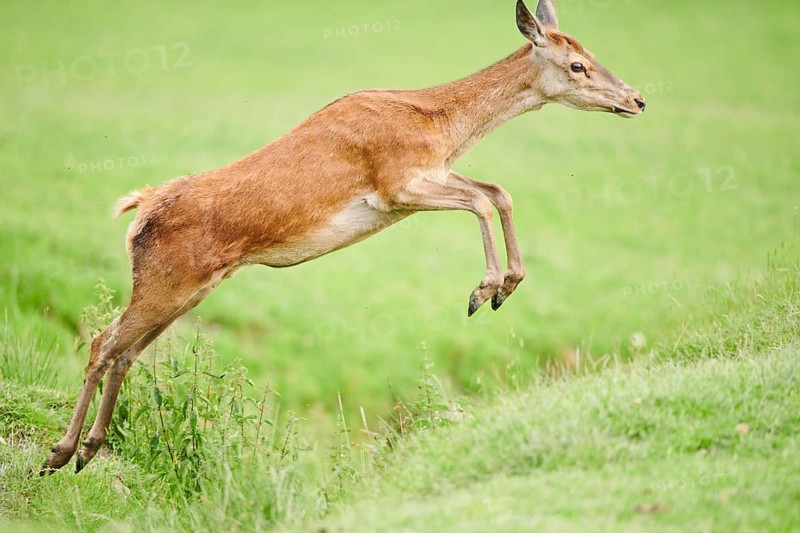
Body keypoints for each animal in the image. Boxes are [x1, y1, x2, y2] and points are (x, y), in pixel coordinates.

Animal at [41, 0, 645, 475]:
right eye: (577, 64)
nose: (637, 99)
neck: (439, 125)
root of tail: (138, 213)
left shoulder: (424, 180)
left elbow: (498, 191)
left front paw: (506, 286)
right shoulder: (396, 185)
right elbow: (482, 198)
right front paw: (484, 291)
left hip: (188, 289)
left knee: (124, 351)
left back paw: (88, 450)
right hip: (166, 280)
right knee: (102, 341)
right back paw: (59, 453)